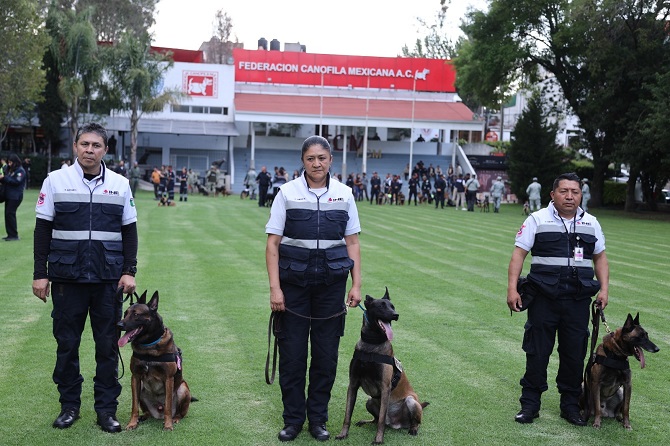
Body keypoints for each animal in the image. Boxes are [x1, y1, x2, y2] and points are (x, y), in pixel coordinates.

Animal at [117, 290, 192, 430]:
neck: (148, 346)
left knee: (178, 413)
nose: (118, 325)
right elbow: (134, 406)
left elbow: (168, 406)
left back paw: (175, 419)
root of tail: (158, 413)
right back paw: (143, 417)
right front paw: (132, 423)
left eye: (136, 314)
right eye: (125, 313)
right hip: (141, 388)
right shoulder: (135, 377)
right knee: (146, 411)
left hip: (183, 388)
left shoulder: (168, 378)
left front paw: (168, 425)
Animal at [336, 288, 430, 444]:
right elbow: (347, 415)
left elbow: (380, 421)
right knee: (376, 419)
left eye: (393, 306)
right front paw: (343, 434)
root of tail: (395, 424)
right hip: (369, 401)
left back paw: (413, 429)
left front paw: (379, 439)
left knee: (411, 422)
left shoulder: (385, 387)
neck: (371, 345)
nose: (396, 315)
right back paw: (365, 421)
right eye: (381, 306)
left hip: (411, 402)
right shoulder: (353, 384)